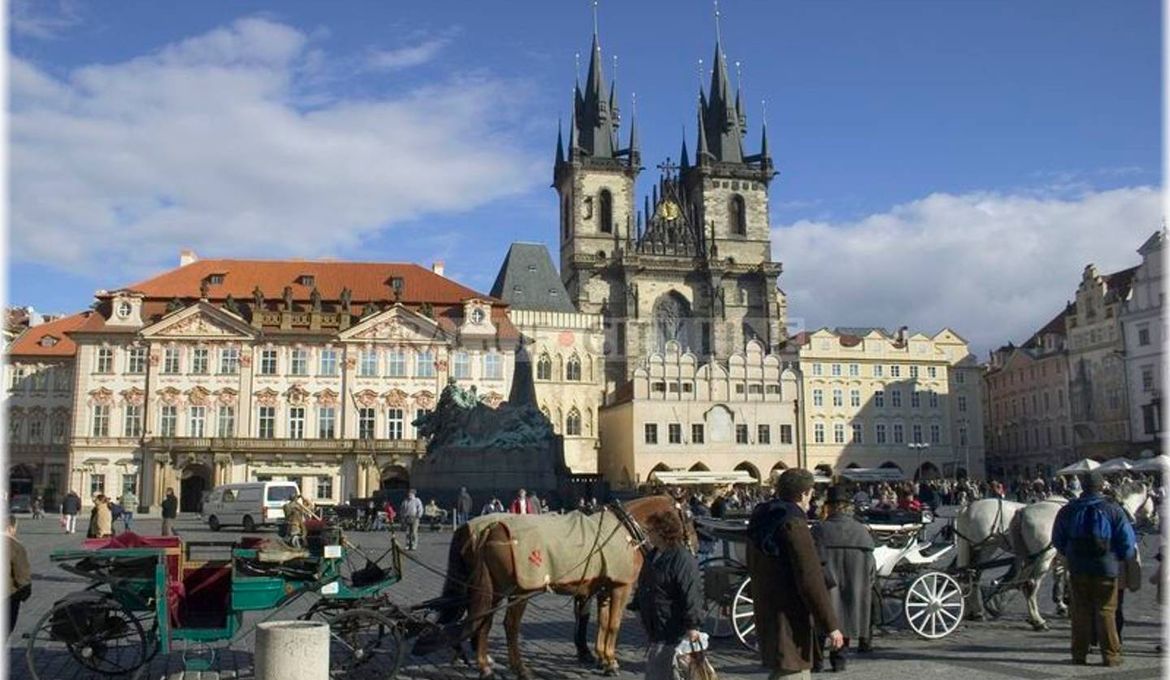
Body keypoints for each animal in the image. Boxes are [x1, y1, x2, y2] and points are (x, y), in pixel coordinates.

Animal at [439, 493, 692, 678]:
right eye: (689, 517)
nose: (693, 546)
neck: (627, 530)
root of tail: (490, 530)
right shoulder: (621, 586)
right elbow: (614, 624)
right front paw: (611, 662)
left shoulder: (604, 587)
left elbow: (602, 622)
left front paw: (601, 657)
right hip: (518, 590)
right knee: (508, 625)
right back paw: (518, 668)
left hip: (490, 589)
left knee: (482, 620)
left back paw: (484, 664)